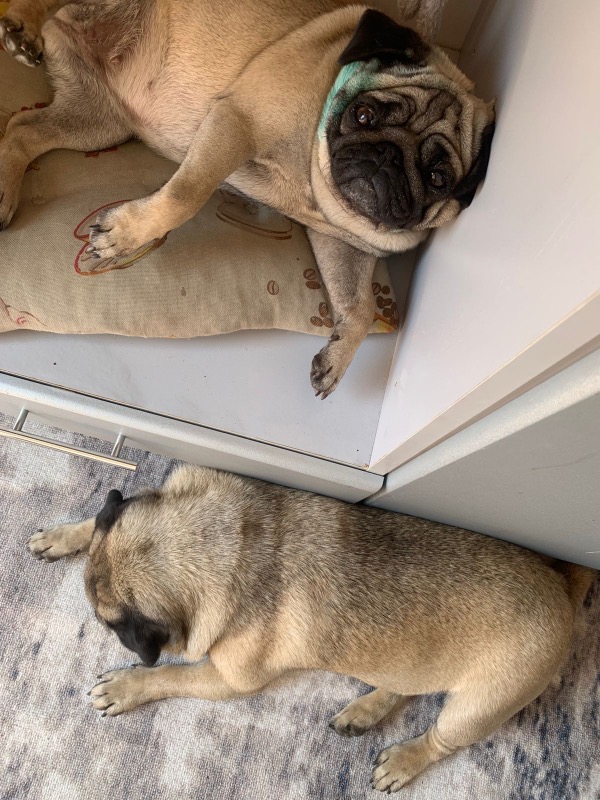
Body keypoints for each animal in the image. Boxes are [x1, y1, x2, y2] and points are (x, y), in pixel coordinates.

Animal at [0, 0, 494, 396]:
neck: (314, 181)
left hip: (97, 124)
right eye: (364, 115)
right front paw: (126, 234)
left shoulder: (341, 243)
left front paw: (336, 359)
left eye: (437, 177)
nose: (387, 158)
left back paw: (5, 188)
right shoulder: (236, 122)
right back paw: (23, 25)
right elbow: (185, 194)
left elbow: (361, 307)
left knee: (21, 131)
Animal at [27, 465, 594, 792]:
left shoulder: (227, 679)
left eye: (110, 626)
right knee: (407, 686)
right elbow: (98, 525)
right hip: (413, 663)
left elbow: (169, 676)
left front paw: (128, 684)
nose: (123, 641)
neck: (235, 541)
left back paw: (403, 758)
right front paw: (67, 534)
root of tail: (561, 587)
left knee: (441, 737)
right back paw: (365, 711)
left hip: (477, 707)